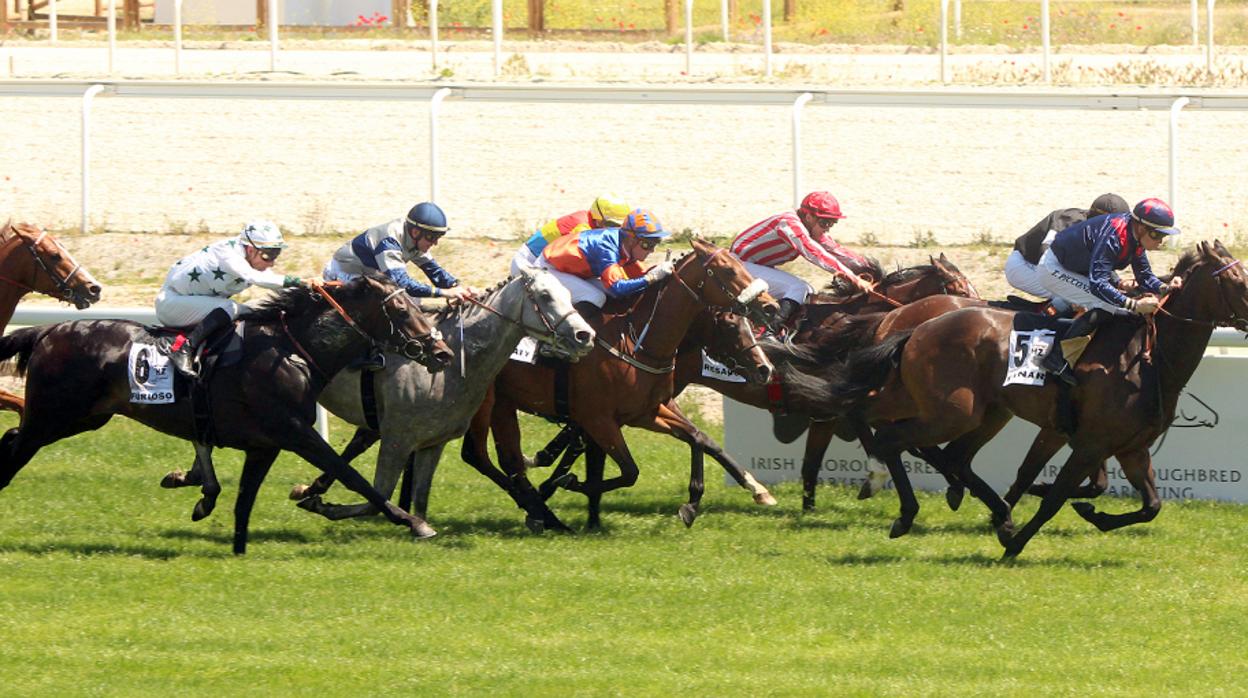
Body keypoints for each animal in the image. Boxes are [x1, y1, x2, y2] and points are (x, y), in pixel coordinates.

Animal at [0, 275, 454, 554]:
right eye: (401, 311)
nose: (442, 351)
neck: (293, 350)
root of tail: (47, 331)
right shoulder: (295, 432)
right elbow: (354, 477)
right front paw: (414, 522)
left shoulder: (265, 445)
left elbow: (243, 503)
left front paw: (236, 548)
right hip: (54, 418)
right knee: (12, 453)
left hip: (79, 418)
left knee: (10, 439)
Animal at [808, 242, 1248, 556]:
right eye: (1239, 280)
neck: (1145, 357)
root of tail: (911, 327)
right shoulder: (1090, 442)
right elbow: (1054, 496)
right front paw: (1015, 542)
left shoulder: (1128, 447)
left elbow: (1149, 505)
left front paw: (1089, 514)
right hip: (952, 411)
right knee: (889, 434)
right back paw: (904, 508)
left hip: (976, 411)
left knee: (940, 450)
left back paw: (975, 507)